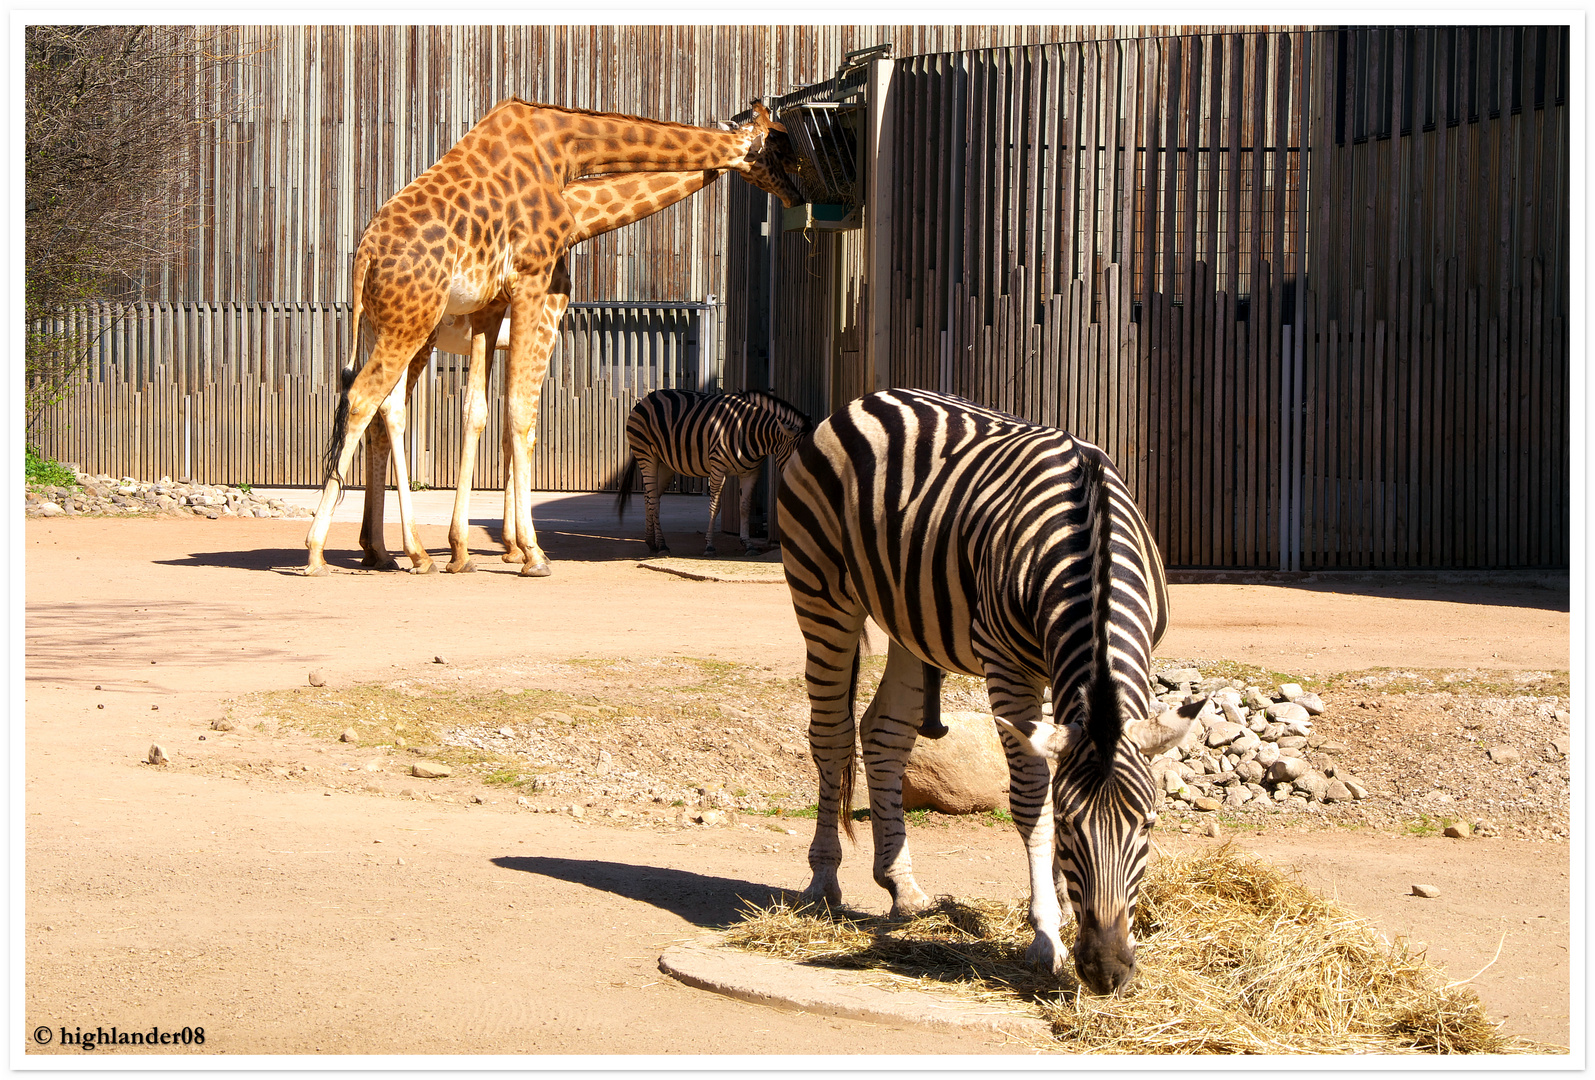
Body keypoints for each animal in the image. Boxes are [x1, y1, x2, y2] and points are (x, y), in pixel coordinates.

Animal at [358, 166, 727, 574]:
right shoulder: (544, 329)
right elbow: (524, 426)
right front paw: (519, 549)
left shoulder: (507, 343)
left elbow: (505, 431)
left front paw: (510, 546)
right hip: (417, 338)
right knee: (388, 412)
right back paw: (409, 552)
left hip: (376, 335)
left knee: (371, 418)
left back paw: (376, 550)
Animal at [609, 387, 810, 555]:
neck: (750, 432)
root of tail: (647, 398)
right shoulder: (718, 466)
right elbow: (715, 506)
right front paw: (709, 545)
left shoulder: (751, 472)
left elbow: (745, 507)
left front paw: (748, 544)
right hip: (646, 455)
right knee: (653, 500)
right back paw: (662, 545)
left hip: (664, 463)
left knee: (649, 497)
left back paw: (651, 542)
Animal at [778, 386, 1199, 995]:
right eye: (1070, 827)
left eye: (1147, 823)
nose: (1107, 971)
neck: (1090, 536)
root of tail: (866, 399)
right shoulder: (1008, 667)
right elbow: (1031, 799)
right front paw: (1046, 935)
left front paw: (1060, 909)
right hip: (822, 595)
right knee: (830, 737)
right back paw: (823, 883)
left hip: (910, 619)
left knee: (883, 733)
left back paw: (902, 888)